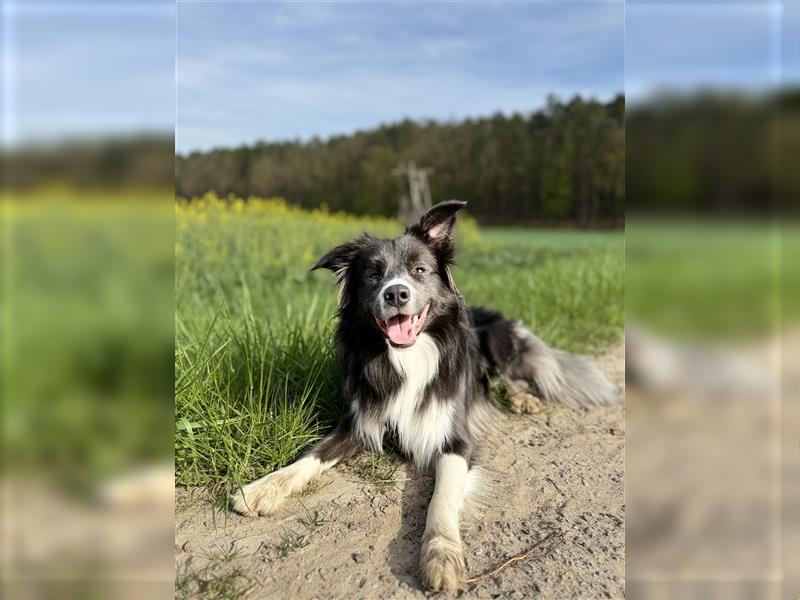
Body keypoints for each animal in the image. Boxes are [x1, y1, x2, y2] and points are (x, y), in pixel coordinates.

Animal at [231, 200, 620, 592]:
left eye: (419, 270)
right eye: (372, 275)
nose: (396, 294)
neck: (409, 356)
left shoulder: (457, 440)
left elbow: (441, 498)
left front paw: (441, 553)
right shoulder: (361, 419)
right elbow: (312, 455)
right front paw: (262, 489)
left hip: (495, 343)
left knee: (502, 378)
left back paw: (523, 398)